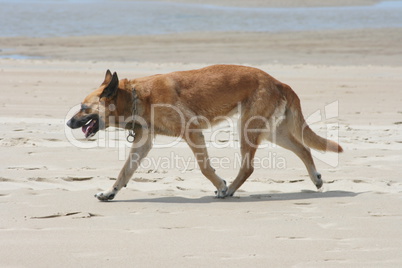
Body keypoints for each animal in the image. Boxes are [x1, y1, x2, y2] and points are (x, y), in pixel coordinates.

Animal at [66, 63, 342, 200]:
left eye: (83, 108)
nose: (68, 123)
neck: (137, 97)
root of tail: (278, 82)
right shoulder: (143, 144)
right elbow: (124, 172)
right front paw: (109, 193)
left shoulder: (192, 132)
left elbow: (205, 167)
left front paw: (220, 185)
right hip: (272, 131)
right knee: (304, 148)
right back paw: (316, 178)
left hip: (248, 129)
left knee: (248, 167)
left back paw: (230, 190)